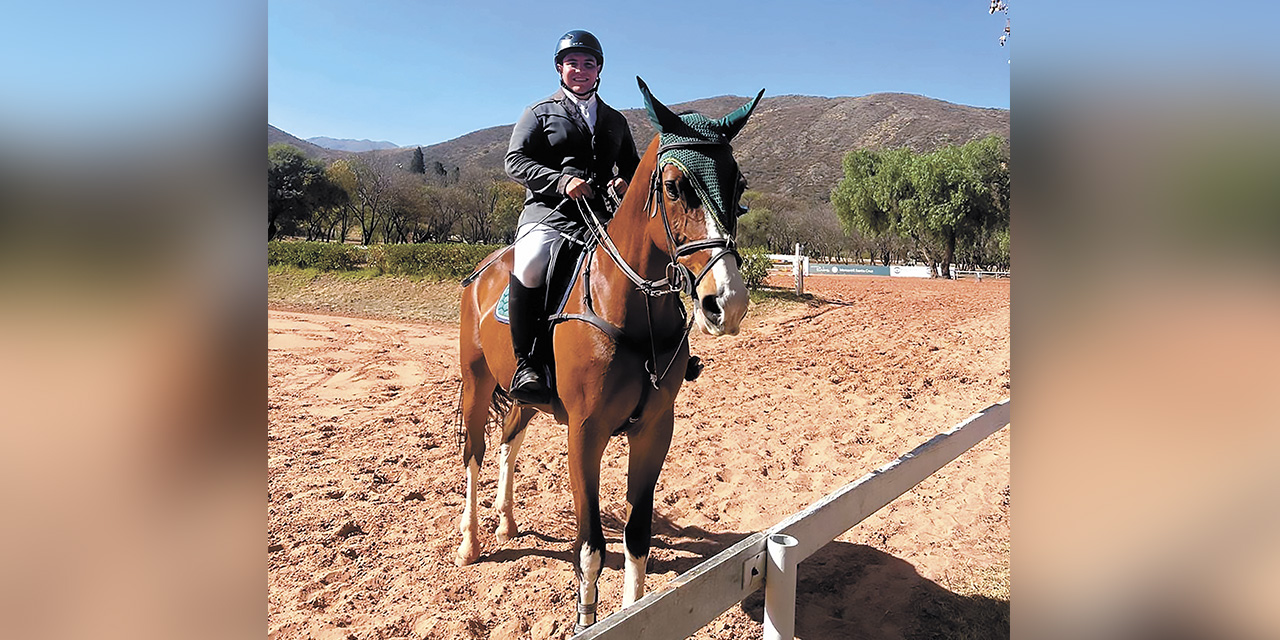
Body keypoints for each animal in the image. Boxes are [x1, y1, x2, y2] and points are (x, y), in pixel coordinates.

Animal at [458, 76, 762, 629]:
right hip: (476, 382)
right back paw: (470, 542)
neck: (628, 302)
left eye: (739, 186)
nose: (726, 304)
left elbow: (637, 538)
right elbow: (591, 547)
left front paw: (634, 610)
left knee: (510, 439)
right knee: (475, 452)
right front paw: (586, 618)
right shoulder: (585, 432)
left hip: (524, 395)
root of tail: (484, 270)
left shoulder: (654, 431)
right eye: (675, 187)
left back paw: (506, 522)